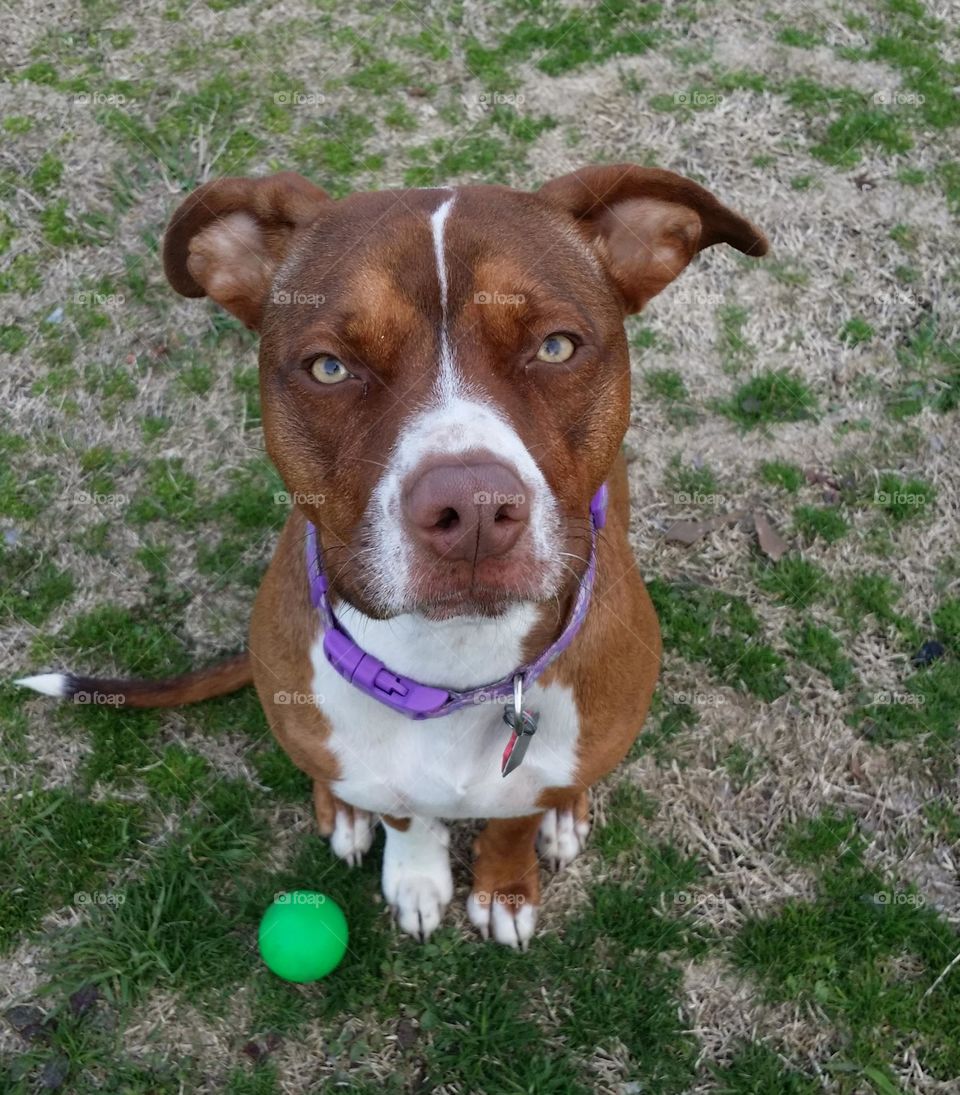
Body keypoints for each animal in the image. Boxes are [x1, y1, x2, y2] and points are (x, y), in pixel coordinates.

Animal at [18, 164, 766, 950]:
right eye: (329, 367)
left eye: (557, 347)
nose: (472, 510)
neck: (454, 665)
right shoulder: (380, 768)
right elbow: (406, 815)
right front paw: (415, 875)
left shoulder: (535, 772)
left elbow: (515, 821)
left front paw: (505, 887)